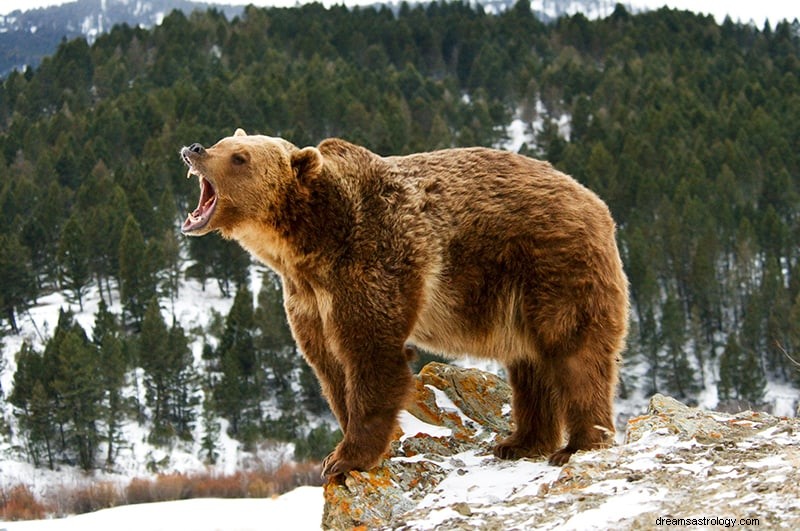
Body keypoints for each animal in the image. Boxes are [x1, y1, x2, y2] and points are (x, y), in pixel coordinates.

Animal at [181, 129, 632, 478]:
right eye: (225, 142)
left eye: (240, 157)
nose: (195, 148)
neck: (309, 245)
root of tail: (597, 203)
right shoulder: (307, 298)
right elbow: (329, 366)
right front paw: (341, 447)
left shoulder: (373, 260)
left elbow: (372, 354)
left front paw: (346, 459)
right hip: (517, 297)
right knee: (530, 364)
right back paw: (520, 442)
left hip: (553, 265)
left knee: (574, 352)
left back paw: (578, 444)